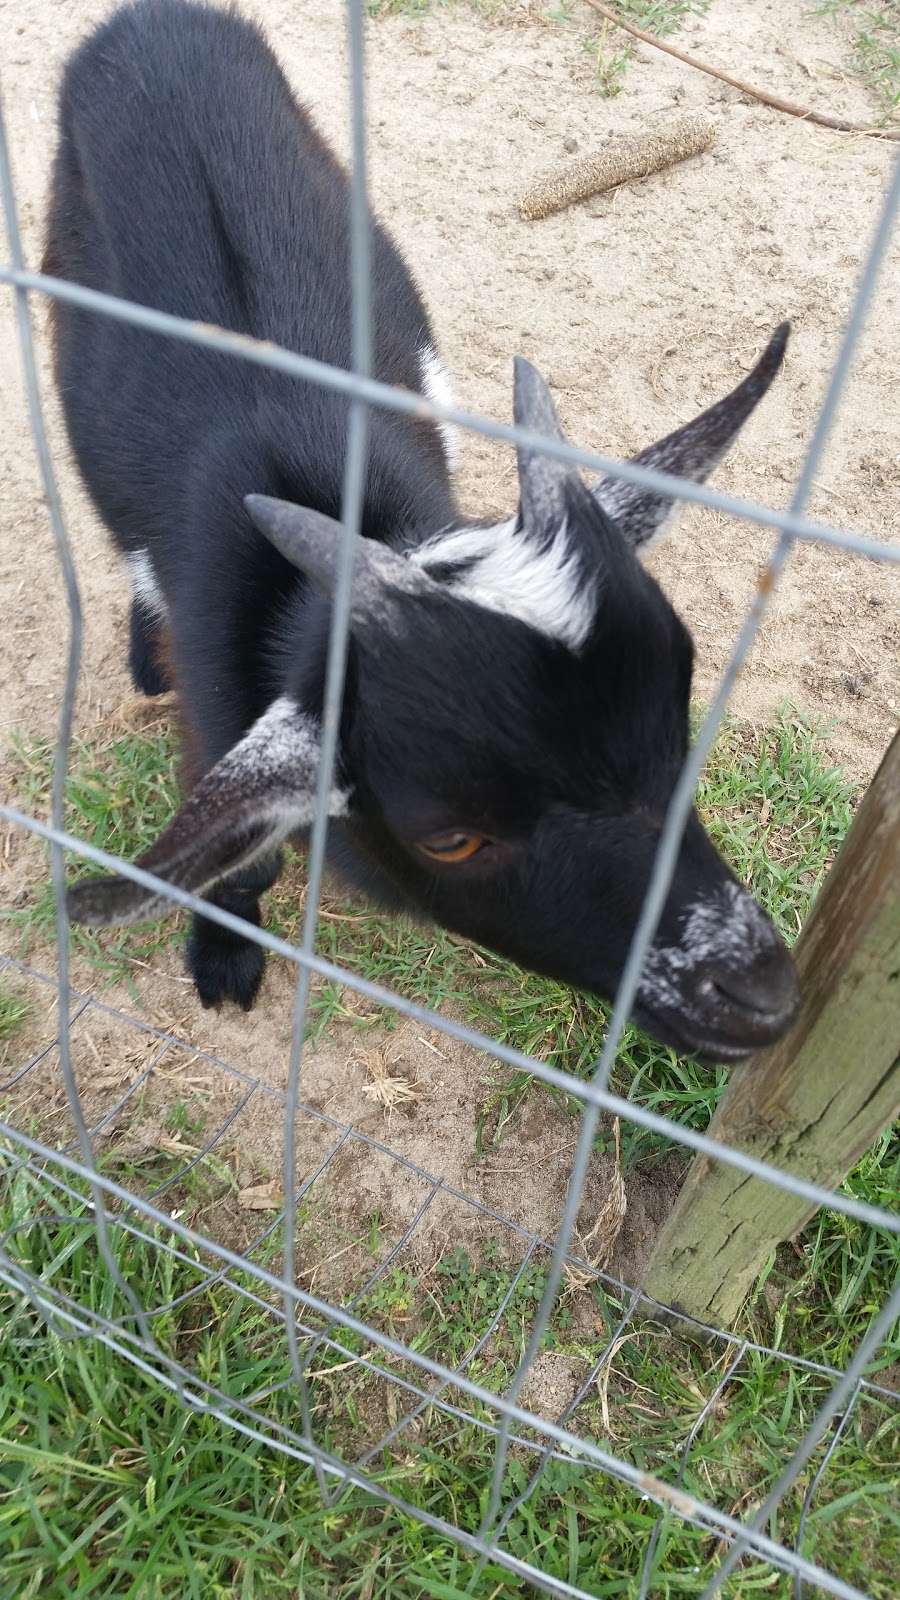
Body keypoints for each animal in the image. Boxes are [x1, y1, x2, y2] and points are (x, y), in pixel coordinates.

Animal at [45, 0, 794, 1062]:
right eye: (451, 836)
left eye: (680, 717)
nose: (760, 998)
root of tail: (149, 19)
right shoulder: (219, 712)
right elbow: (234, 855)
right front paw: (223, 955)